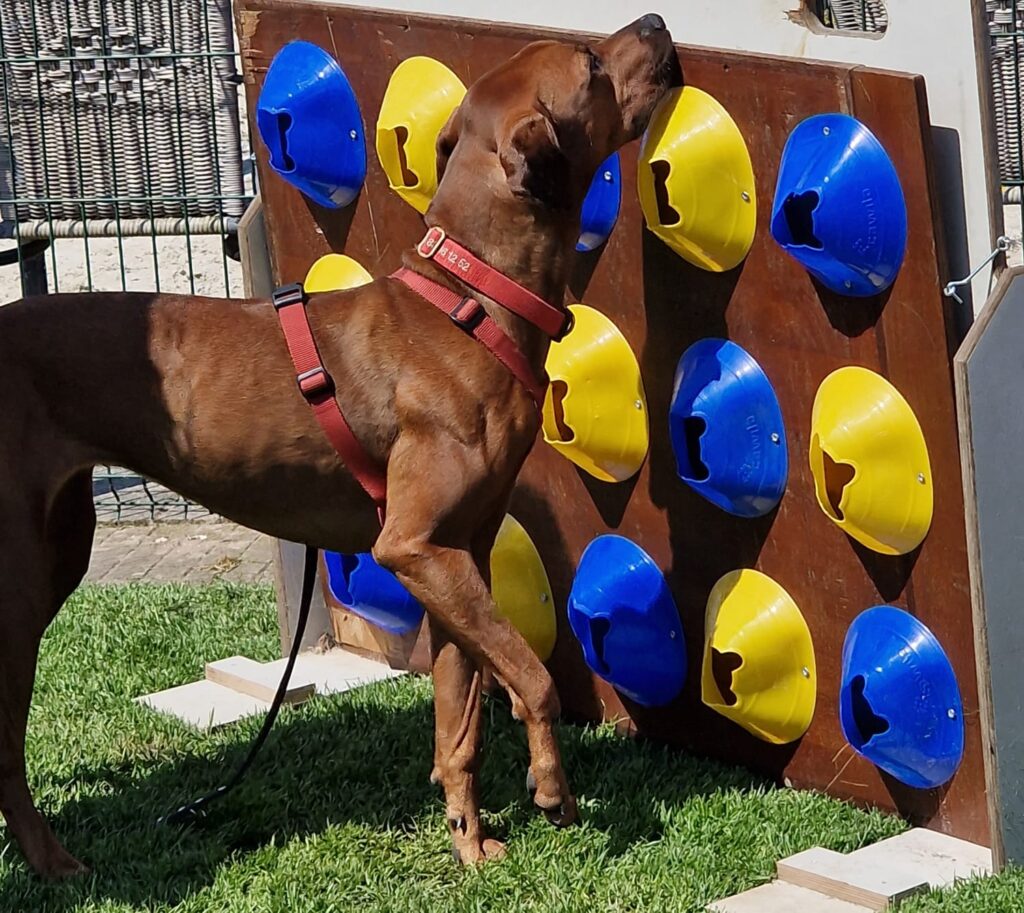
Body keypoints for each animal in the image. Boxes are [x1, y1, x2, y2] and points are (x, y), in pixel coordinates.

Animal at [0, 12, 679, 872]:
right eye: (591, 62)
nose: (655, 22)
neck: (469, 301)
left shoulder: (453, 555)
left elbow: (461, 719)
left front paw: (469, 840)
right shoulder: (411, 546)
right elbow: (533, 675)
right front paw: (553, 788)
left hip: (59, 549)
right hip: (20, 588)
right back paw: (53, 862)